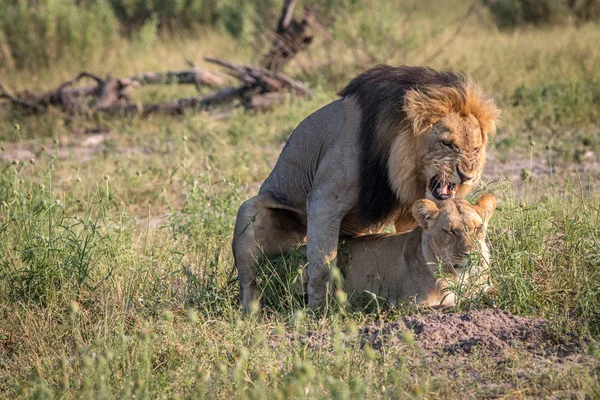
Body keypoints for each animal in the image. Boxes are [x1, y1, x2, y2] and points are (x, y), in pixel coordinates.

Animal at [296, 195, 496, 308]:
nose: (471, 255)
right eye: (450, 231)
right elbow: (450, 304)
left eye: (478, 229)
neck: (462, 275)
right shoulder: (410, 303)